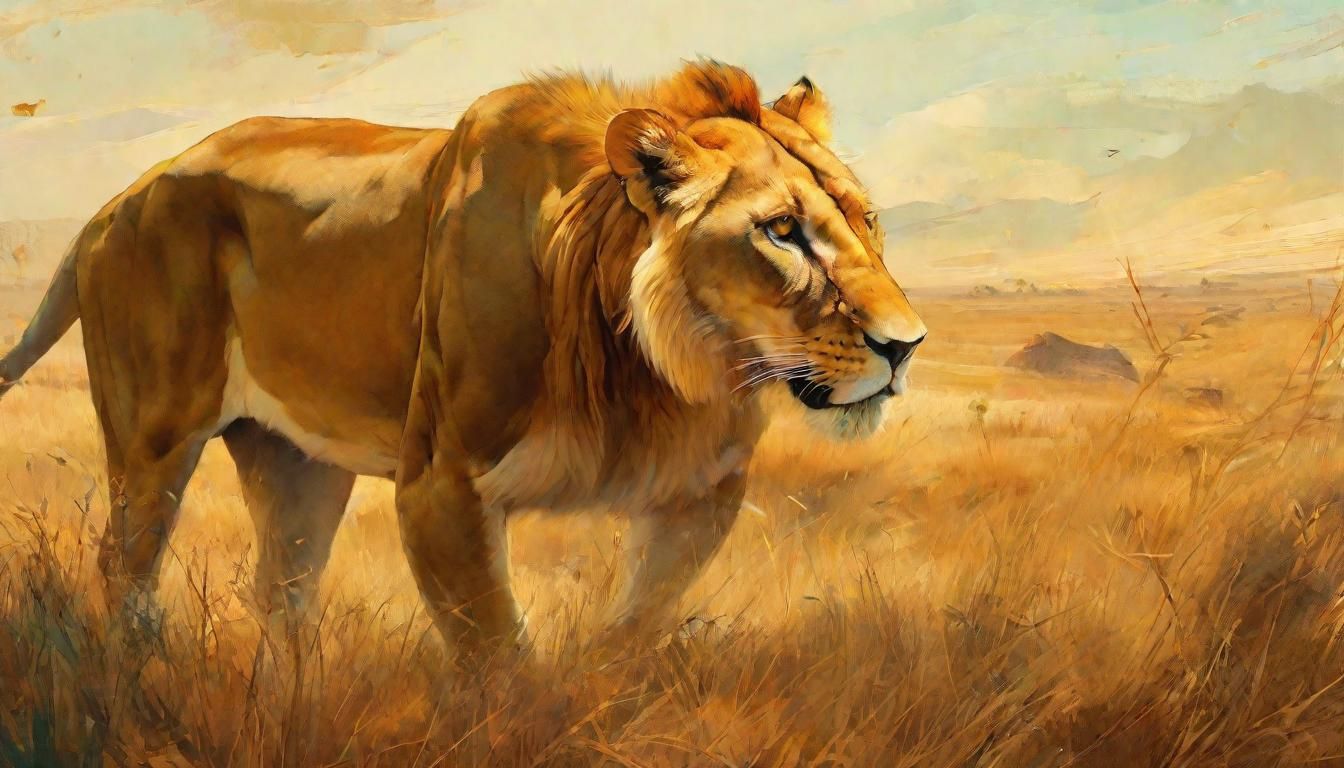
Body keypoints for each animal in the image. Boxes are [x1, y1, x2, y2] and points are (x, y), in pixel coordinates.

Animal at [0, 61, 925, 657]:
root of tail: (120, 197)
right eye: (781, 231)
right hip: (153, 442)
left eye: (868, 219)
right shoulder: (441, 488)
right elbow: (499, 661)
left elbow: (630, 633)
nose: (906, 345)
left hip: (298, 463)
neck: (654, 373)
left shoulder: (699, 494)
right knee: (124, 572)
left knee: (283, 595)